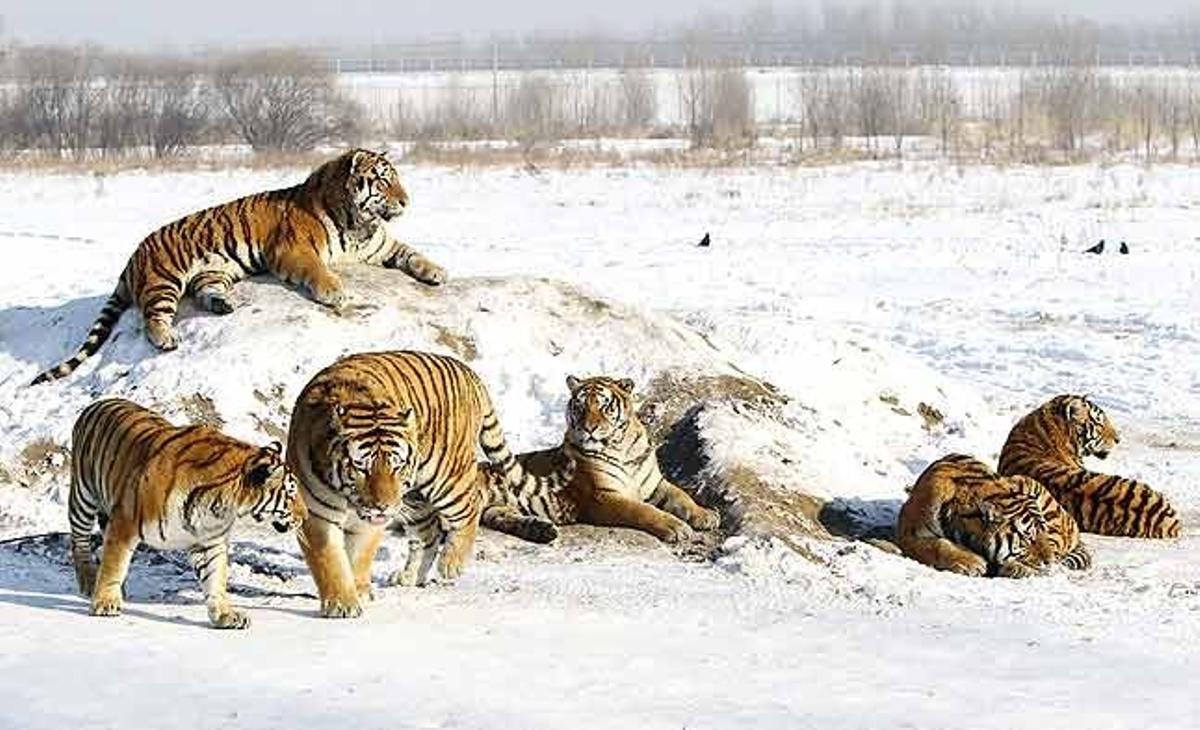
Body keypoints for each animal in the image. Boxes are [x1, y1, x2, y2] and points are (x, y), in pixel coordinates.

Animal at [32, 148, 445, 385]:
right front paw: (334, 291)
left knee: (204, 293)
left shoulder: (382, 246)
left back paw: (223, 305)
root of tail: (133, 256)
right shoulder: (294, 250)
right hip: (164, 280)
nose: (406, 201)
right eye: (383, 181)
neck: (359, 222)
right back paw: (167, 338)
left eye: (397, 180)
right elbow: (317, 270)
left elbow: (413, 253)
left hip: (214, 271)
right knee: (152, 316)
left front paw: (436, 271)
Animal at [69, 398, 305, 629]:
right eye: (291, 494)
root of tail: (96, 404)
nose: (304, 517)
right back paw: (90, 583)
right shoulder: (124, 522)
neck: (223, 505)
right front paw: (105, 603)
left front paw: (225, 615)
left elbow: (215, 578)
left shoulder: (208, 540)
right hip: (82, 496)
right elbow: (114, 565)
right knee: (79, 542)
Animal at [286, 350, 553, 619]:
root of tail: (468, 371)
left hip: (446, 477)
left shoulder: (369, 522)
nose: (384, 506)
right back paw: (411, 575)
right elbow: (329, 562)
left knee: (472, 504)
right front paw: (344, 602)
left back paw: (451, 563)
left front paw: (356, 594)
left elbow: (359, 556)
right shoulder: (316, 516)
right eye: (362, 467)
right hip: (415, 498)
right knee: (429, 532)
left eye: (396, 466)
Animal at [478, 375, 721, 544]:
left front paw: (706, 515)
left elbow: (682, 496)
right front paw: (676, 528)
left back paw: (542, 530)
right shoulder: (603, 496)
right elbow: (643, 510)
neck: (622, 449)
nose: (589, 428)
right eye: (580, 406)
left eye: (605, 406)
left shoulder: (655, 485)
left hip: (497, 509)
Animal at [895, 453, 1092, 578]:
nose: (1048, 562)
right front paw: (971, 562)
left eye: (1042, 532)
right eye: (1027, 538)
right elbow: (938, 545)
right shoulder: (909, 535)